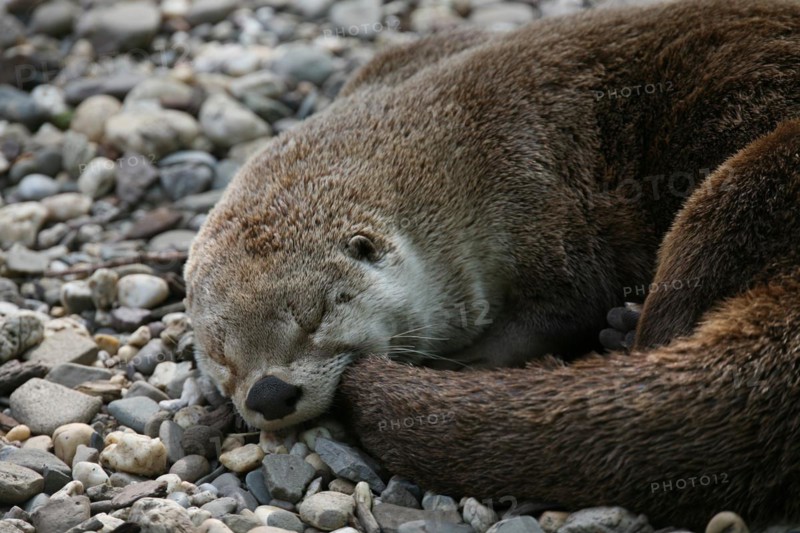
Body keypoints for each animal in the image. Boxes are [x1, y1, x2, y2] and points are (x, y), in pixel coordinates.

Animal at [184, 0, 800, 529]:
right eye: (221, 355)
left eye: (315, 317)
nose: (268, 394)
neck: (464, 155)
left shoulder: (543, 192)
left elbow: (567, 303)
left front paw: (465, 366)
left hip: (748, 184)